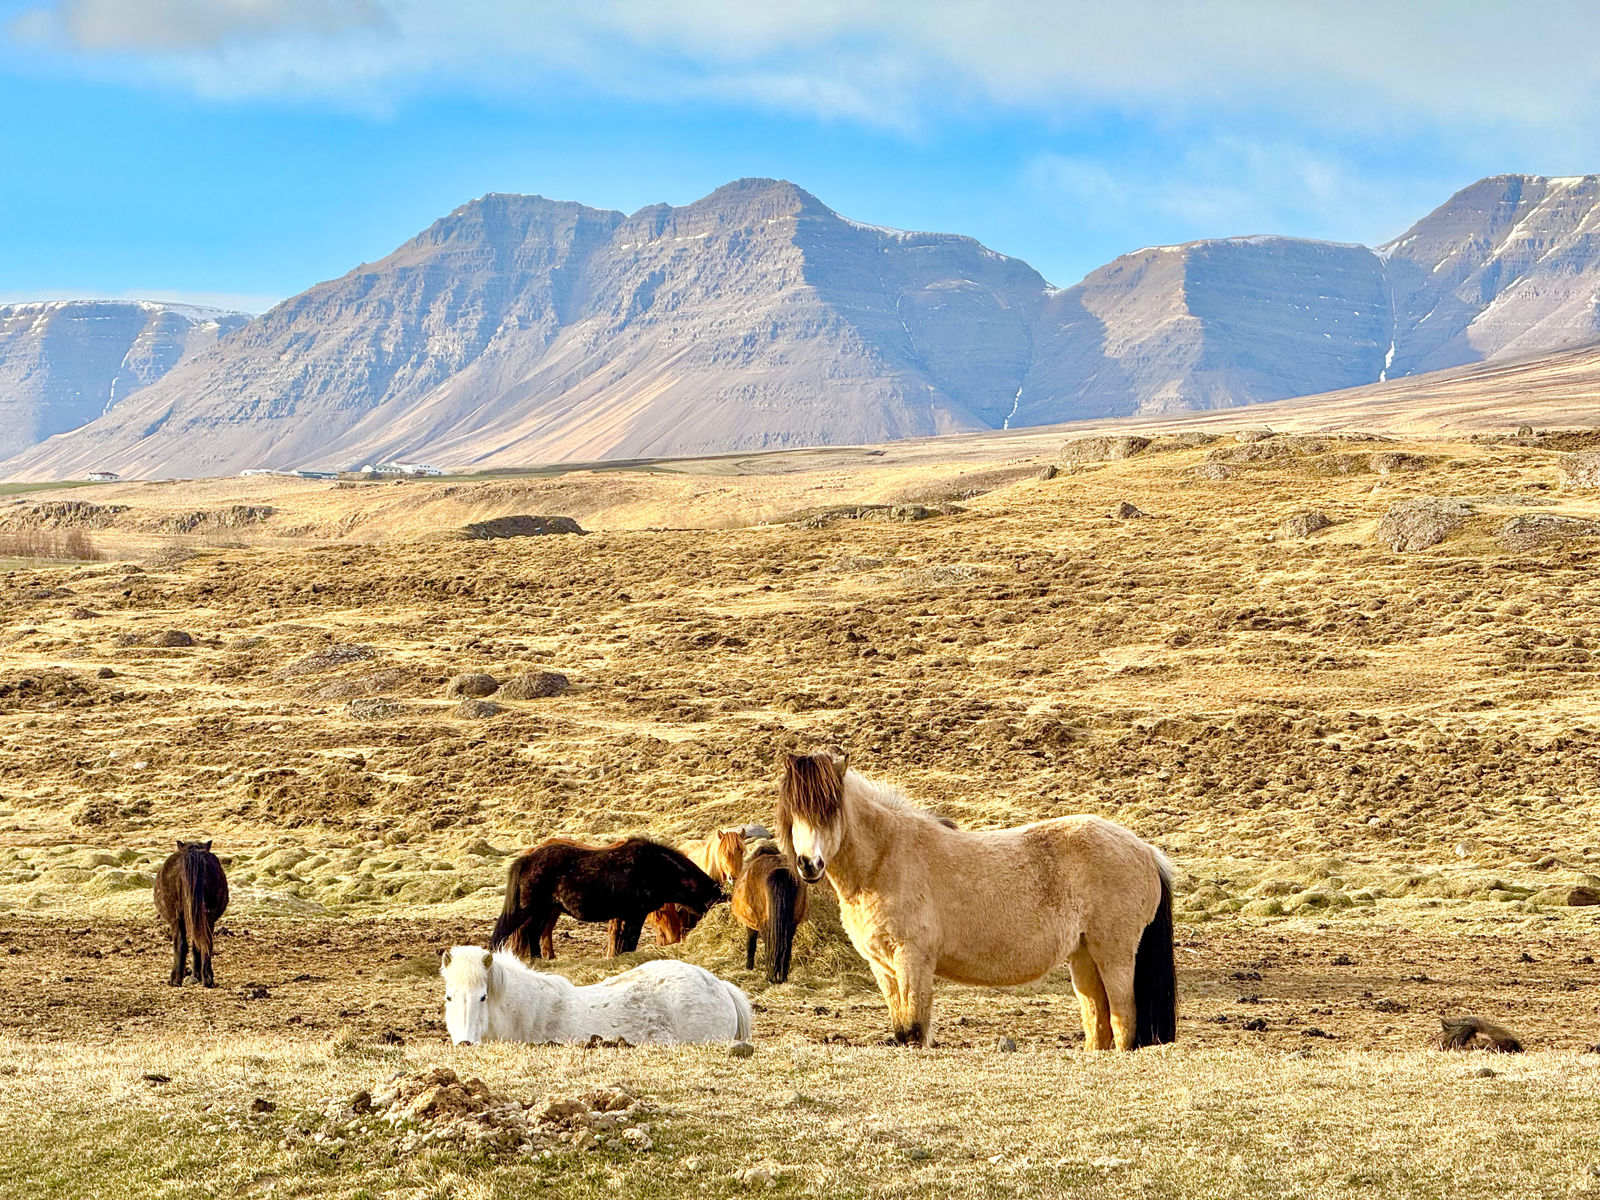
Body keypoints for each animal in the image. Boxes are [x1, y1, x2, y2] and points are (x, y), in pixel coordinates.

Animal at [153, 840, 229, 987]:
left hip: (177, 919)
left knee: (181, 944)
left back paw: (176, 979)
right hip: (205, 918)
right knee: (205, 943)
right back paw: (207, 979)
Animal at [491, 836, 725, 961]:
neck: (656, 867)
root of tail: (528, 857)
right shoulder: (635, 914)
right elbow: (630, 940)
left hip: (543, 910)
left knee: (532, 935)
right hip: (526, 909)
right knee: (503, 934)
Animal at [731, 842, 808, 983]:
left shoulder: (751, 925)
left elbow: (751, 944)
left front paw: (749, 967)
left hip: (765, 924)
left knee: (769, 943)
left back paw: (770, 976)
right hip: (791, 923)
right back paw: (782, 977)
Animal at [776, 751, 1176, 1050]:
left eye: (830, 809)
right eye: (794, 812)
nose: (808, 864)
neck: (886, 857)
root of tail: (1146, 851)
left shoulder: (912, 960)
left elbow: (914, 1031)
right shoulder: (883, 967)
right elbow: (901, 1029)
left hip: (1114, 955)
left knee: (1124, 1020)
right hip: (1084, 956)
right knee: (1098, 1021)